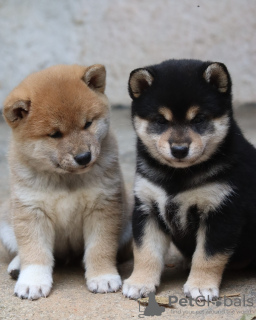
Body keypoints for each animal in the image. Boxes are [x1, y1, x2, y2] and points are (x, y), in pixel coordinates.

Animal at [0, 64, 131, 300]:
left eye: (88, 123)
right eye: (55, 134)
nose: (84, 157)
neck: (67, 178)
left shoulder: (102, 208)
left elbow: (100, 248)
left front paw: (103, 277)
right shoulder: (32, 211)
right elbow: (34, 252)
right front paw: (32, 282)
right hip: (6, 222)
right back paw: (16, 267)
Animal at [122, 58, 256, 302]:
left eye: (199, 119)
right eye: (160, 120)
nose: (179, 150)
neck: (178, 176)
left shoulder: (222, 211)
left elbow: (208, 256)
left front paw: (201, 285)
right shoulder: (147, 208)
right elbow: (145, 251)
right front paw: (140, 282)